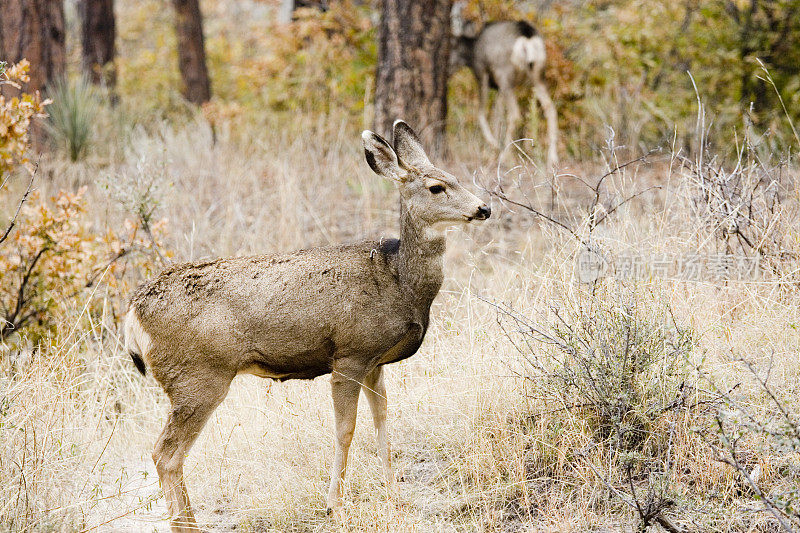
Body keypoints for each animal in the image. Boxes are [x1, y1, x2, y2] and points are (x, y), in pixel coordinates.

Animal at [123, 121, 494, 532]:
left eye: (456, 177)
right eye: (436, 187)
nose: (484, 207)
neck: (400, 281)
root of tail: (132, 314)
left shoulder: (376, 363)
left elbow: (383, 425)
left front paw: (395, 500)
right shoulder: (350, 354)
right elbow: (345, 431)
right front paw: (336, 508)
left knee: (168, 455)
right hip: (198, 375)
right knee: (165, 454)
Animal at [450, 12, 556, 167]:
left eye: (451, 47)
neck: (473, 49)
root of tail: (526, 36)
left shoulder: (482, 73)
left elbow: (481, 113)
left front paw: (493, 146)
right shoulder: (499, 88)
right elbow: (497, 115)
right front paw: (492, 150)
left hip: (505, 74)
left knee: (515, 113)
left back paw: (505, 156)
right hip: (537, 73)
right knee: (550, 108)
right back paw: (552, 160)